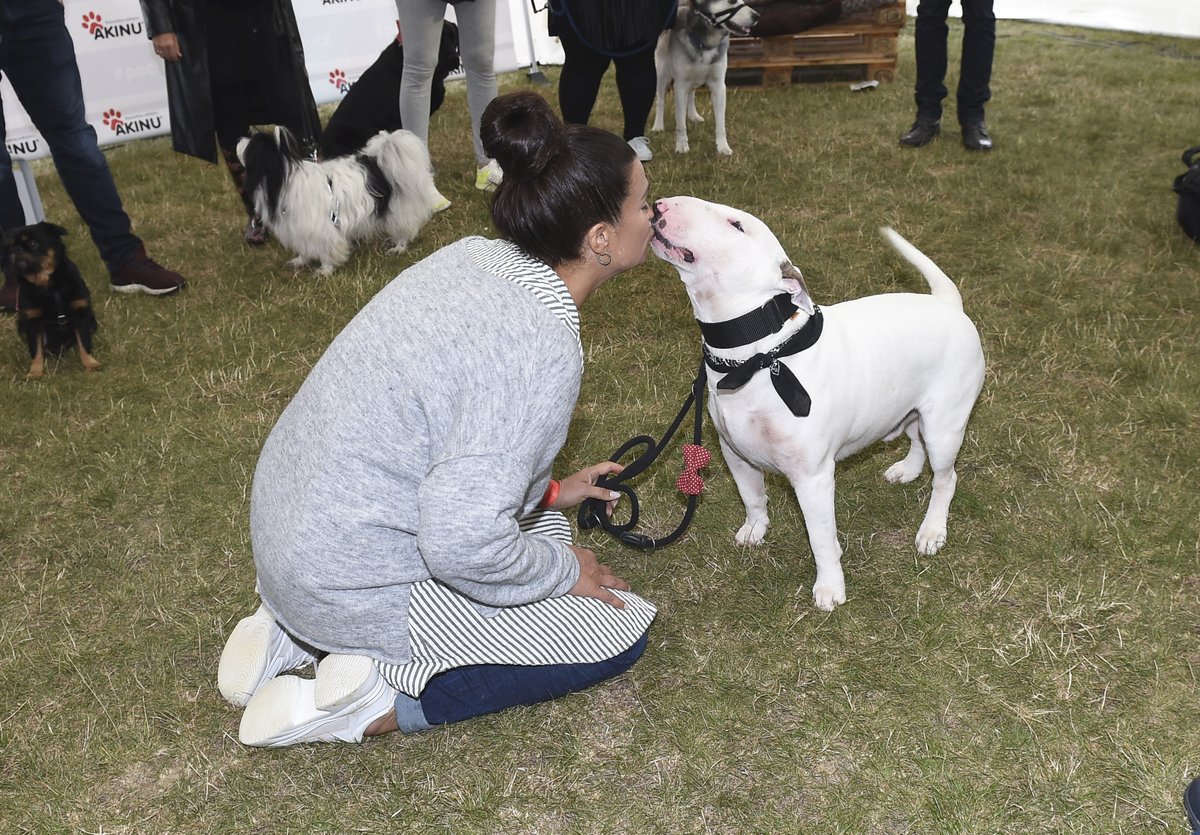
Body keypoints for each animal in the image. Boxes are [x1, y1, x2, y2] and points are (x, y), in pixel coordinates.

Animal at [2, 221, 100, 379]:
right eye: (11, 246)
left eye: (33, 244)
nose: (17, 249)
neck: (49, 287)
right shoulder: (32, 324)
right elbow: (35, 350)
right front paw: (35, 372)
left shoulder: (81, 316)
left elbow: (84, 343)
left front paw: (90, 363)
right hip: (21, 325)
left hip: (91, 319)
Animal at [236, 125, 444, 273]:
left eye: (250, 146)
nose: (239, 138)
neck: (284, 178)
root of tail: (380, 161)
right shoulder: (298, 228)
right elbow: (303, 248)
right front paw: (300, 261)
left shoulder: (320, 229)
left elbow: (326, 250)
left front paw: (325, 270)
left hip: (398, 208)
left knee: (405, 228)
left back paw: (399, 247)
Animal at [657, 0, 758, 154]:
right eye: (732, 1)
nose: (757, 16)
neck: (706, 40)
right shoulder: (680, 85)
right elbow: (680, 121)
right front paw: (681, 145)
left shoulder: (718, 85)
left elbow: (721, 122)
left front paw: (723, 146)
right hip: (663, 75)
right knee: (660, 99)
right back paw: (658, 126)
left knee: (691, 94)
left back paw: (693, 115)